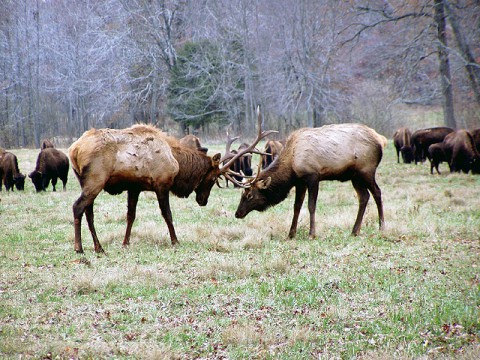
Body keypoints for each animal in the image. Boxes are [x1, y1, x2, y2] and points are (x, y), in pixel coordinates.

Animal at [69, 115, 276, 253]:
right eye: (211, 178)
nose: (203, 201)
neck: (178, 163)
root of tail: (74, 150)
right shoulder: (161, 184)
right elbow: (167, 214)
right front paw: (175, 241)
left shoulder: (134, 187)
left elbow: (130, 216)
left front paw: (125, 243)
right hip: (95, 179)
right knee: (78, 207)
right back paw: (79, 248)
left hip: (86, 182)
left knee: (89, 212)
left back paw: (98, 247)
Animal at [234, 124, 388, 239]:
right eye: (242, 194)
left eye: (249, 195)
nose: (237, 213)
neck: (291, 164)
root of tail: (381, 140)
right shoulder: (299, 182)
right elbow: (296, 206)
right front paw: (291, 234)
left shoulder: (313, 176)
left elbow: (311, 206)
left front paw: (312, 234)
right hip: (355, 176)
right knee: (364, 197)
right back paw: (354, 231)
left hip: (367, 170)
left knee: (377, 193)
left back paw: (382, 228)